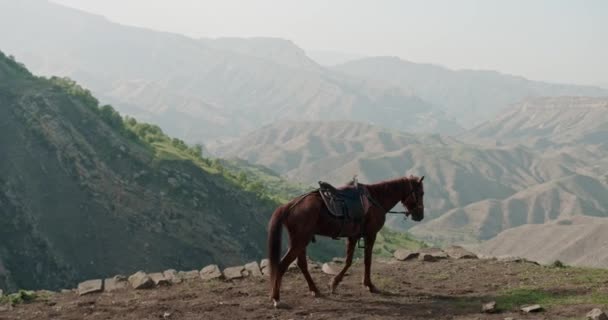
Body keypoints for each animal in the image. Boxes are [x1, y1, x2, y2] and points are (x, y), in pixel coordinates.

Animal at [268, 175, 426, 308]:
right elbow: (367, 261)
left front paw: (334, 283)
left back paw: (315, 290)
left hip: (301, 241)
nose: (420, 216)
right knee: (281, 266)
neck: (375, 199)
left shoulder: (354, 236)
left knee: (302, 265)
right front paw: (369, 285)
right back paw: (276, 298)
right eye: (421, 193)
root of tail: (289, 206)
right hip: (299, 241)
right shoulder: (370, 235)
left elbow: (349, 261)